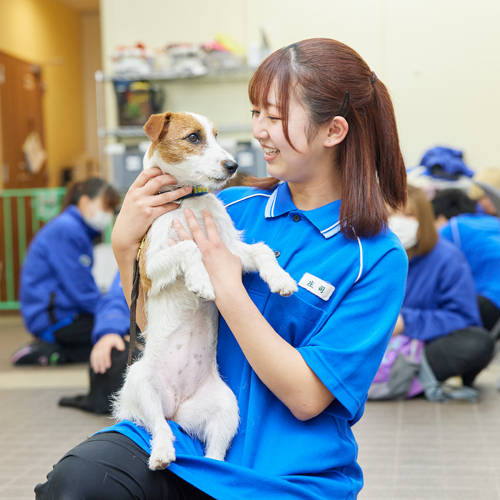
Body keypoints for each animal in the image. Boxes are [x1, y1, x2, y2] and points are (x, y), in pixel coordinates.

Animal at [114, 111, 296, 470]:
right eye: (194, 138)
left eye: (215, 135)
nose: (233, 165)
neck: (188, 202)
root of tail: (176, 407)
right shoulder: (151, 267)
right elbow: (189, 247)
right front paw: (200, 281)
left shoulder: (231, 253)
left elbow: (262, 251)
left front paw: (280, 279)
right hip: (139, 380)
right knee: (158, 426)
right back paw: (162, 452)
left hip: (226, 407)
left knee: (214, 453)